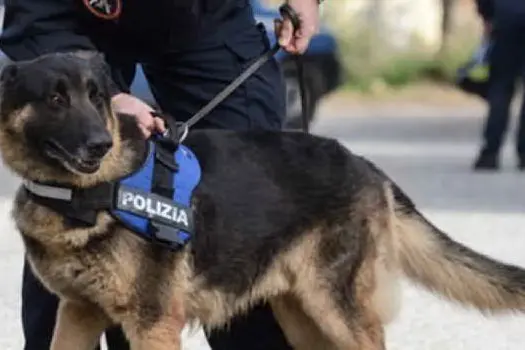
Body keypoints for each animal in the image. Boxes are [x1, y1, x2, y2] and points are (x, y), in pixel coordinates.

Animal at [1, 51, 524, 350]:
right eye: (55, 99)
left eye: (97, 98)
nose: (99, 145)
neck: (82, 195)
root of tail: (363, 163)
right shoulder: (78, 314)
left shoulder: (153, 323)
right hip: (303, 316)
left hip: (337, 311)